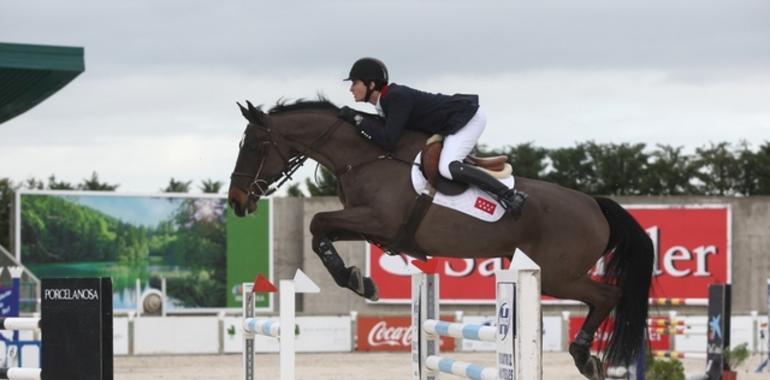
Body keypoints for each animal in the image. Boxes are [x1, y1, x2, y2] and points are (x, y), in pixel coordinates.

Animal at [225, 98, 652, 380]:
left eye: (255, 145)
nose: (237, 201)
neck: (365, 157)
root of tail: (594, 204)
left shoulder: (377, 218)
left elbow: (317, 221)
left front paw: (356, 280)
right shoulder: (370, 226)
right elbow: (320, 230)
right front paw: (359, 279)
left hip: (557, 274)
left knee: (607, 295)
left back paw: (583, 356)